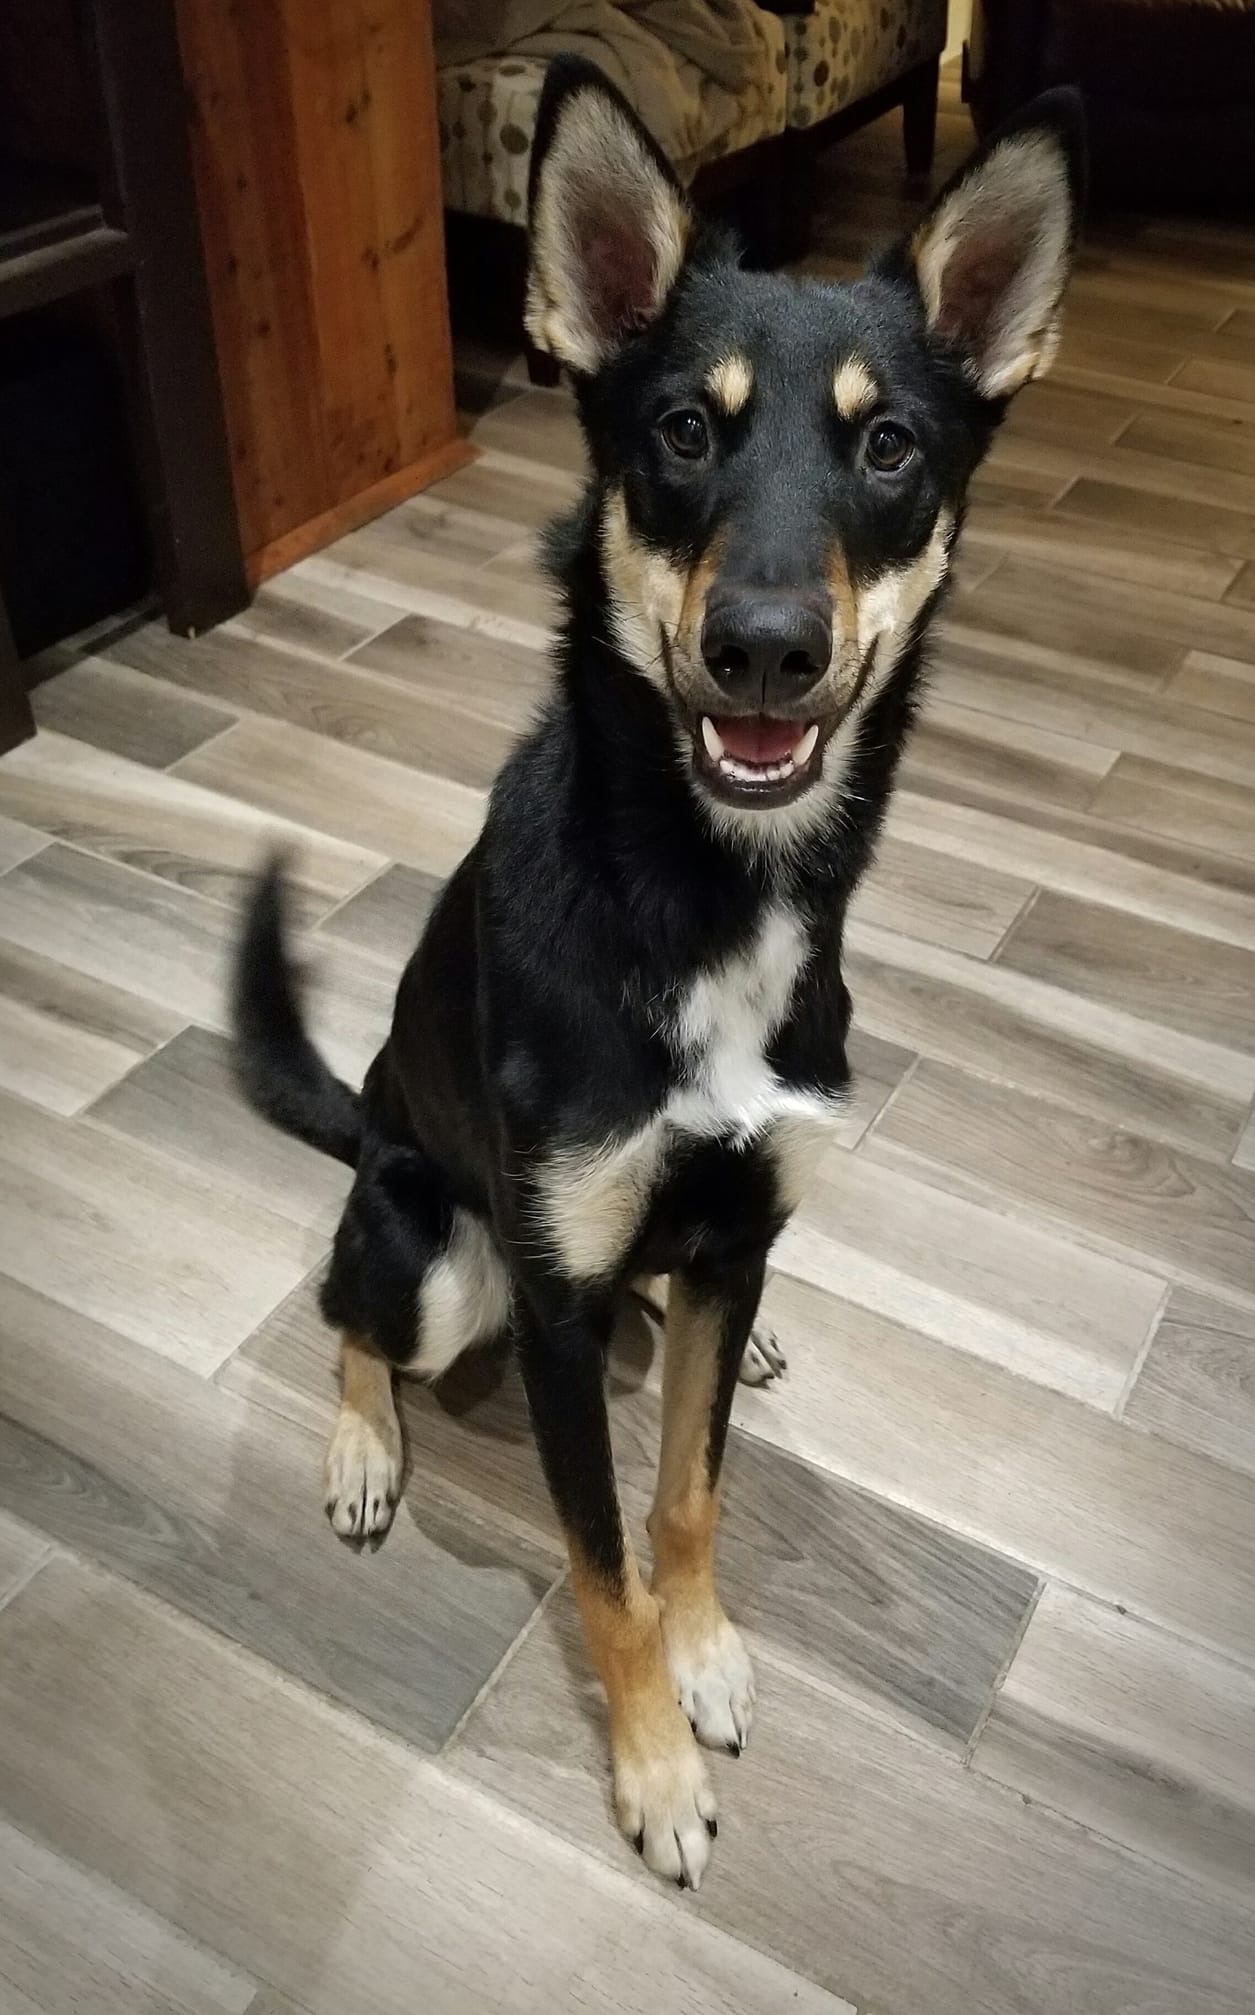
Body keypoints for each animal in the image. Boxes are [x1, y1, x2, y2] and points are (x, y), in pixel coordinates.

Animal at [233, 59, 1083, 1891]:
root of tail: (368, 1131)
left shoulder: (732, 1228)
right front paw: (652, 1765)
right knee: (345, 1311)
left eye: (889, 446)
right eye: (684, 430)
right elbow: (601, 1558)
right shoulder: (553, 1313)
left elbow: (687, 1494)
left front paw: (705, 1655)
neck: (707, 893)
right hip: (438, 1251)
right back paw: (361, 1444)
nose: (764, 648)